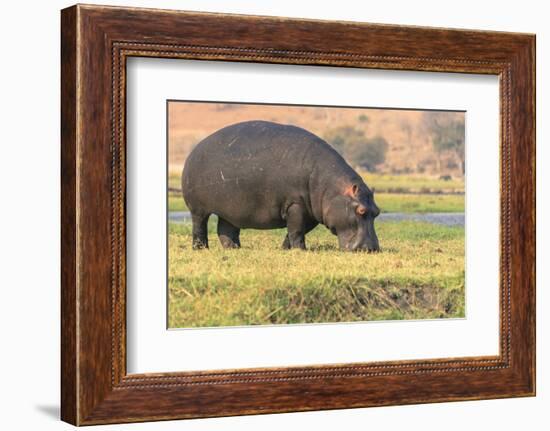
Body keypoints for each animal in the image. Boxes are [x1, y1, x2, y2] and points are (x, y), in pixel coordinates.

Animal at [183, 120, 382, 251]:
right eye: (361, 210)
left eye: (377, 211)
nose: (371, 249)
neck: (331, 188)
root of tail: (195, 149)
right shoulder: (295, 205)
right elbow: (296, 230)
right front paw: (301, 250)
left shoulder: (311, 212)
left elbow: (296, 231)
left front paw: (286, 249)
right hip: (198, 209)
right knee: (199, 226)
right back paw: (201, 248)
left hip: (230, 209)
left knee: (226, 229)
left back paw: (234, 248)